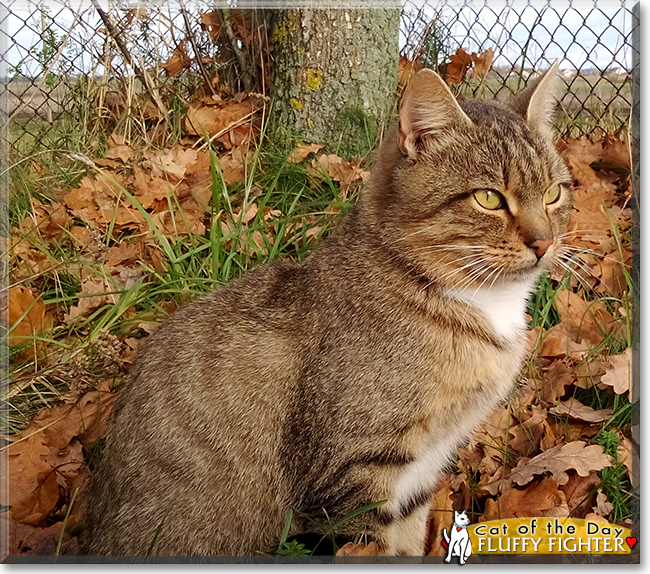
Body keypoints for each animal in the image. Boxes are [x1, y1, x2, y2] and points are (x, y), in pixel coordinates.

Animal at [83, 64, 568, 560]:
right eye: (488, 198)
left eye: (553, 193)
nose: (545, 242)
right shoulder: (353, 471)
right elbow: (369, 543)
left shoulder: (424, 466)